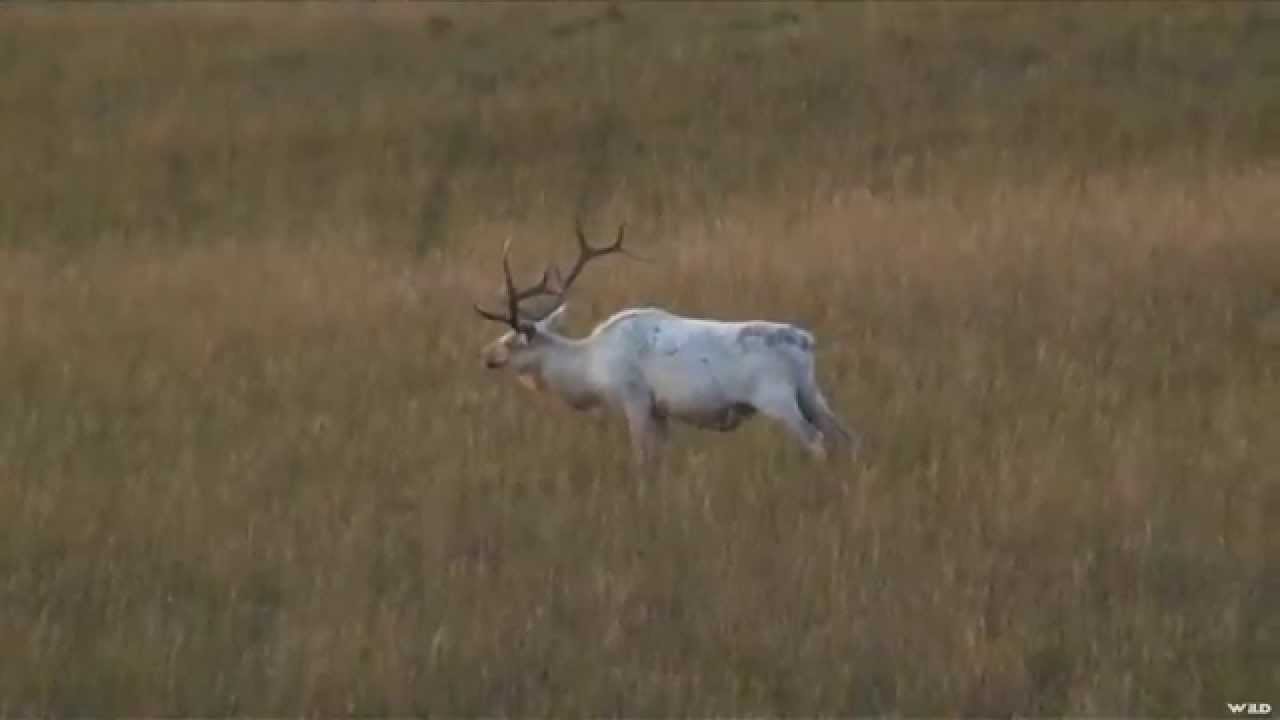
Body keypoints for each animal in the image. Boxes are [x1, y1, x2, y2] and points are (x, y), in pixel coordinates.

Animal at [473, 221, 859, 471]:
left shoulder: (635, 399)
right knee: (845, 437)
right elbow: (662, 458)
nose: (487, 356)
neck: (589, 367)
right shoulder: (660, 410)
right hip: (810, 393)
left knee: (817, 442)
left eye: (512, 341)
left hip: (775, 397)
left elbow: (643, 458)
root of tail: (806, 342)